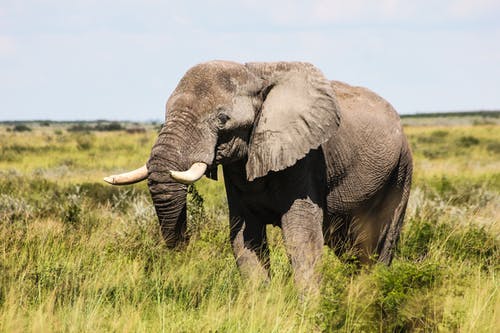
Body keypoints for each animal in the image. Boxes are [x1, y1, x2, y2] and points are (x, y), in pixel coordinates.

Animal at [103, 60, 412, 290]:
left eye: (222, 119)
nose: (182, 249)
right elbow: (245, 238)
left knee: (381, 242)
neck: (254, 73)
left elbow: (301, 236)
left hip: (401, 171)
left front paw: (309, 312)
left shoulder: (306, 158)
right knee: (349, 246)